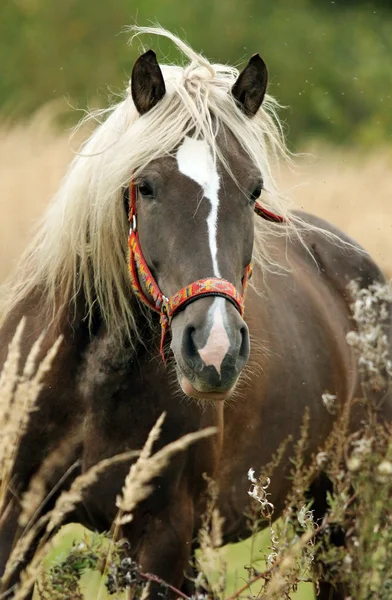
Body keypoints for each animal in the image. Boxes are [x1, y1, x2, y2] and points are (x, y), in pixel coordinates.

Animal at [0, 27, 390, 600]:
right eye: (146, 186)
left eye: (253, 190)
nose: (214, 349)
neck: (93, 382)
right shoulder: (17, 525)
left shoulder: (163, 537)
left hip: (345, 517)